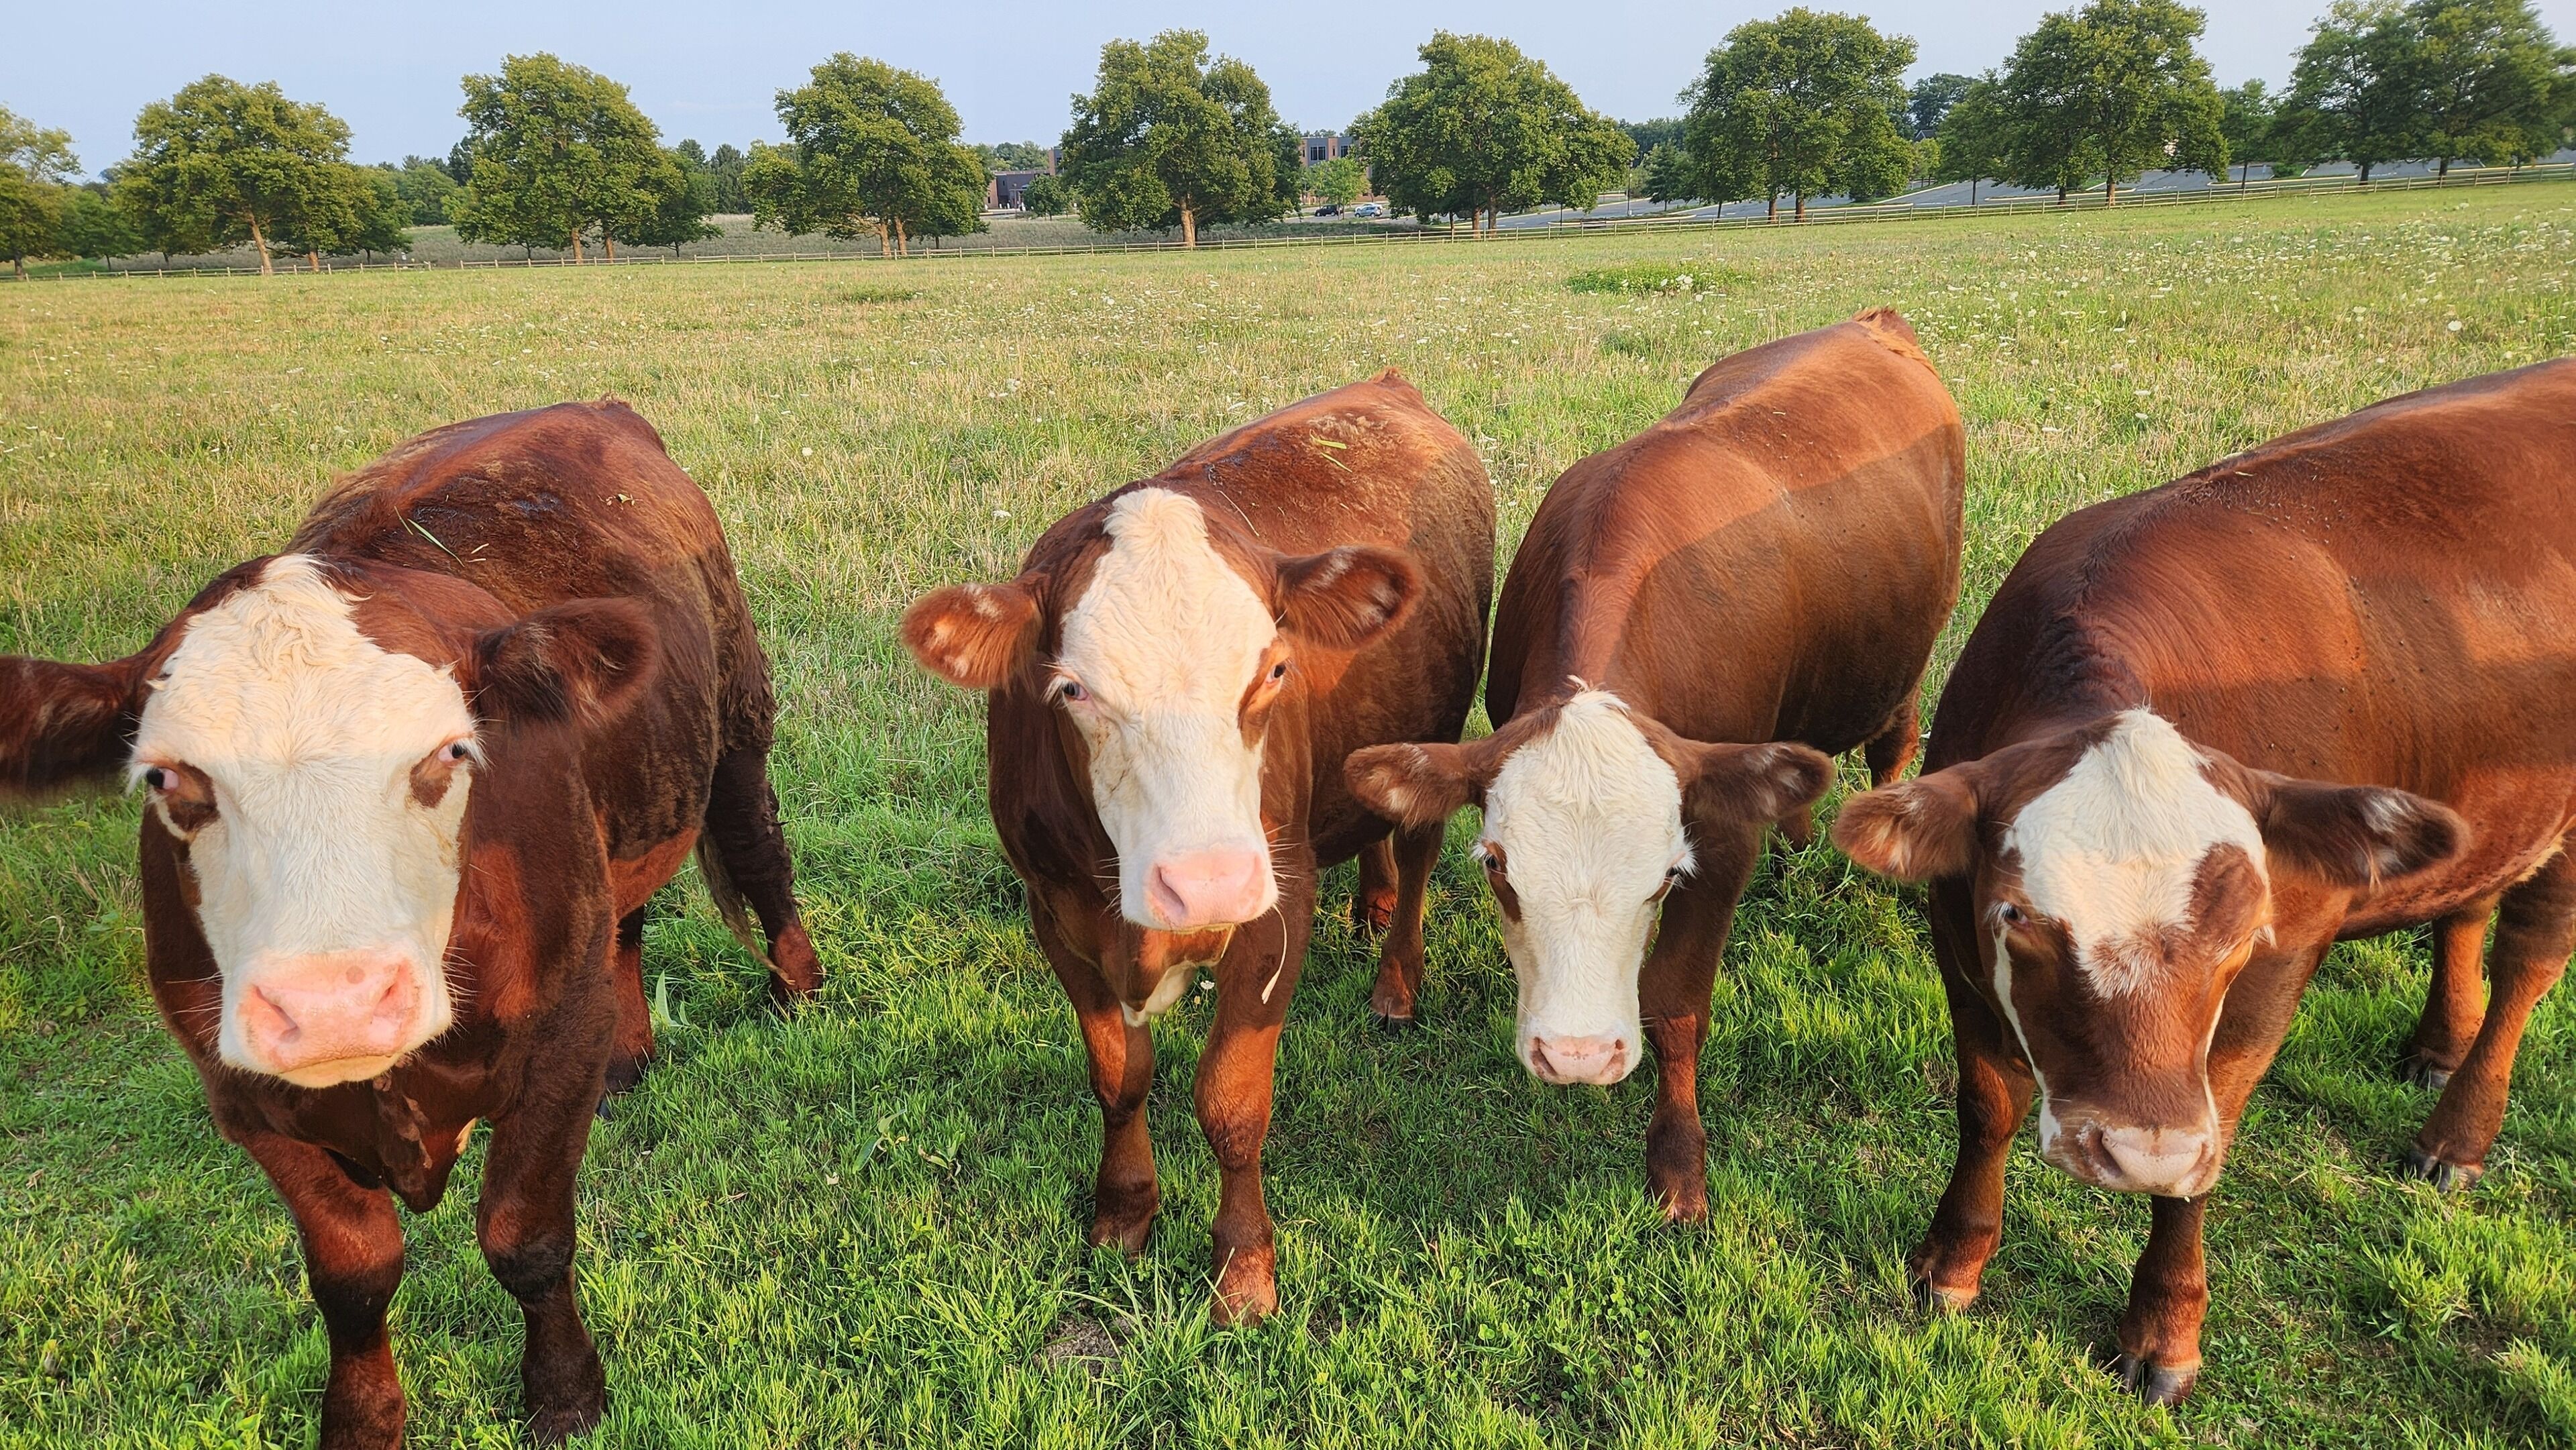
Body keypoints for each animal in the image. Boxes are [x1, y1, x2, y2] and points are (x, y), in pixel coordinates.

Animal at [0, 400, 820, 1448]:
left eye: (447, 754)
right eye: (167, 777)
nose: (333, 1005)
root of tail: (590, 407)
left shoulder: (558, 1037)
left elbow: (526, 1237)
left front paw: (565, 1393)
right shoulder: (246, 1097)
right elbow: (351, 1277)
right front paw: (363, 1420)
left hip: (737, 724)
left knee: (758, 853)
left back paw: (796, 994)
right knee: (627, 923)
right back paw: (630, 1059)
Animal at [900, 370, 1492, 1322]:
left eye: (1275, 671)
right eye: (1073, 689)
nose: (1206, 882)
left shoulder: (1277, 904)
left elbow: (1231, 1101)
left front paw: (1244, 1269)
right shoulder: (1053, 910)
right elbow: (1118, 1074)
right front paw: (1122, 1215)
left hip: (1433, 730)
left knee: (1419, 848)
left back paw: (1396, 980)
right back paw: (1371, 905)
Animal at [1344, 309, 1966, 1219]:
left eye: (1667, 876)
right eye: (1495, 865)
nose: (1575, 1055)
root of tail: (1871, 323)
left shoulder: (1720, 840)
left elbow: (1674, 1005)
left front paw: (1677, 1163)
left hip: (1907, 650)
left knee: (1893, 739)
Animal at [1828, 360, 2576, 1404]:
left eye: (2239, 933)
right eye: (2016, 917)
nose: (2138, 1149)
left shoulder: (2274, 974)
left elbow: (2202, 1165)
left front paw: (2164, 1331)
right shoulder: (1957, 943)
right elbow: (1987, 1108)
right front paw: (1951, 1264)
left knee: (2530, 963)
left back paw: (2455, 1137)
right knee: (2469, 904)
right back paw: (2438, 1043)